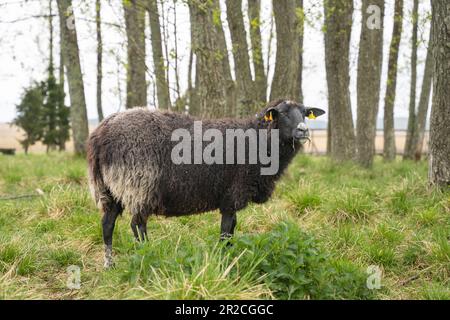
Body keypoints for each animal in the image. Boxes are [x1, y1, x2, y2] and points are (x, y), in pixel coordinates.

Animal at [87, 100, 324, 268]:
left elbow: (232, 230)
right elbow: (226, 232)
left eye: (305, 113)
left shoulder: (229, 197)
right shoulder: (232, 196)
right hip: (139, 182)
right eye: (282, 113)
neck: (257, 140)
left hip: (111, 188)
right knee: (137, 225)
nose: (303, 130)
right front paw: (224, 262)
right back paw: (148, 257)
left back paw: (110, 265)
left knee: (107, 224)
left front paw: (230, 256)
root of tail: (100, 133)